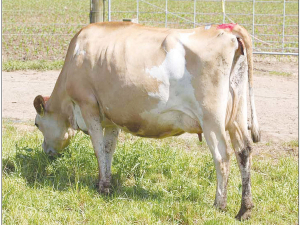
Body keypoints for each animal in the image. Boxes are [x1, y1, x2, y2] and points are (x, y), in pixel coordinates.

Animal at [34, 21, 260, 220]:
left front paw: (101, 186)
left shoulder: (88, 106)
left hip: (211, 118)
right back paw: (244, 209)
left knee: (222, 156)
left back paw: (219, 204)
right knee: (243, 151)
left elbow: (98, 149)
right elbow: (108, 149)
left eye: (37, 124)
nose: (46, 150)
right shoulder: (113, 117)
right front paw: (106, 183)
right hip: (237, 115)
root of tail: (228, 29)